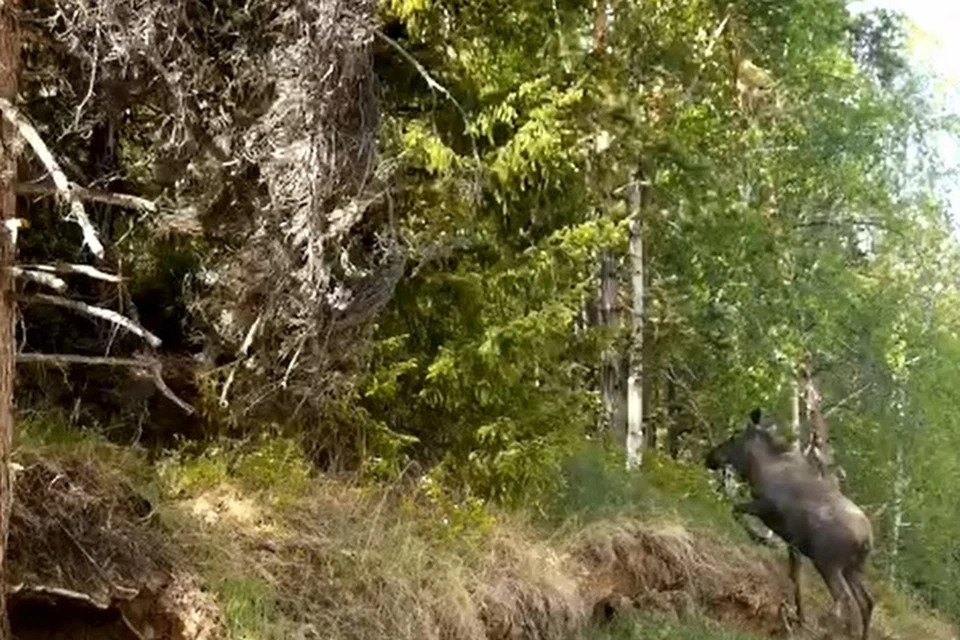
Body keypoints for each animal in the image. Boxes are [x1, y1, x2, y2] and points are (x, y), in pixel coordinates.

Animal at [700, 408, 872, 636]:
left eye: (734, 436)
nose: (710, 457)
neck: (759, 468)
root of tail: (867, 540)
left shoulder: (766, 507)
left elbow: (735, 510)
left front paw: (762, 539)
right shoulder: (794, 542)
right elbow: (794, 578)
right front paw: (797, 617)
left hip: (828, 563)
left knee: (844, 600)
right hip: (852, 569)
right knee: (866, 603)